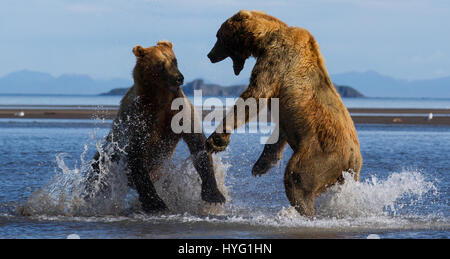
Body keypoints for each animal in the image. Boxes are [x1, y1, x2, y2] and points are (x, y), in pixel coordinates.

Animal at [89, 41, 225, 214]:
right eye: (160, 64)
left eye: (174, 60)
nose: (179, 78)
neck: (161, 98)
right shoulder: (140, 119)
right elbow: (137, 155)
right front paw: (156, 203)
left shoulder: (179, 111)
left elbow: (198, 144)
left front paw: (214, 195)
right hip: (107, 159)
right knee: (94, 177)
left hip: (162, 170)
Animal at [207, 10, 362, 217]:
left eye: (218, 36)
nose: (210, 55)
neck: (263, 39)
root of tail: (353, 159)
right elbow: (279, 132)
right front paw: (261, 165)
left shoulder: (277, 59)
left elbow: (255, 95)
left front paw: (217, 139)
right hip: (344, 173)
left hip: (321, 155)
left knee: (297, 178)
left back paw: (304, 210)